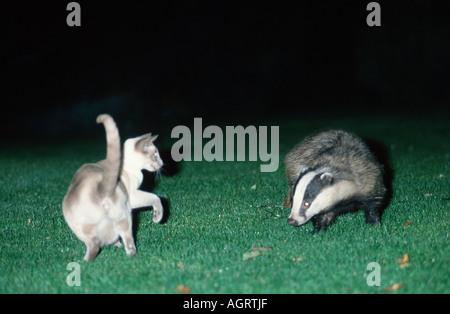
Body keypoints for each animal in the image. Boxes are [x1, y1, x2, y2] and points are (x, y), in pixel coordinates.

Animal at [62, 114, 163, 262]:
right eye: (155, 155)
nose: (162, 163)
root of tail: (100, 188)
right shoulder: (133, 197)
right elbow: (156, 198)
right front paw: (157, 218)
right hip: (125, 214)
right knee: (127, 240)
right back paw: (134, 257)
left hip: (80, 226)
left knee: (94, 244)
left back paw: (86, 261)